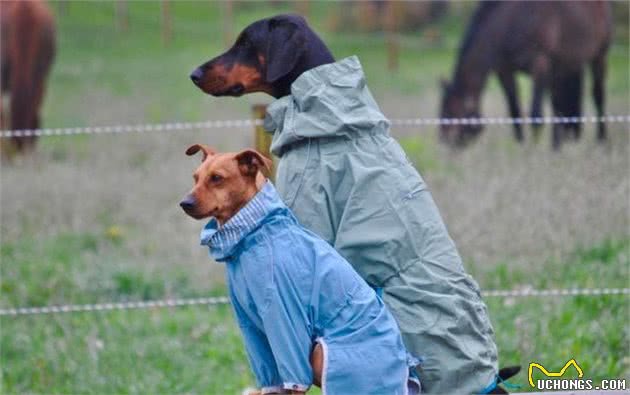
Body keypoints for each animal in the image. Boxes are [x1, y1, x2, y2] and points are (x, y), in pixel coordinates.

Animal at [180, 145, 324, 395]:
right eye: (195, 178)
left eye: (217, 178)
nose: (184, 202)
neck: (256, 232)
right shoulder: (252, 328)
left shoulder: (285, 320)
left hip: (319, 351)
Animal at [442, 1, 616, 150]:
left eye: (453, 112)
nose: (445, 142)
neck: (511, 21)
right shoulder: (504, 71)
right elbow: (515, 111)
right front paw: (521, 146)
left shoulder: (539, 64)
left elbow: (535, 113)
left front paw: (533, 151)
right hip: (562, 67)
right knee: (558, 103)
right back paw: (557, 145)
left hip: (599, 56)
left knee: (598, 96)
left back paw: (601, 141)